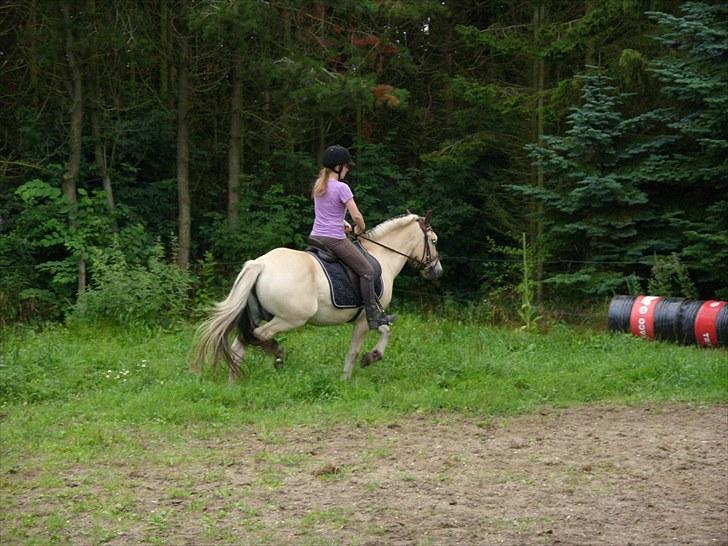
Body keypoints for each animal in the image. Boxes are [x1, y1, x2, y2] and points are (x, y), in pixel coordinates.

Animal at [191, 210, 440, 380]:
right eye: (434, 240)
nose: (437, 271)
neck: (382, 256)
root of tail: (260, 264)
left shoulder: (367, 319)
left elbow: (379, 334)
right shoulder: (366, 318)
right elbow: (360, 347)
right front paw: (357, 370)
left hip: (258, 315)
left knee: (240, 344)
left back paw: (234, 382)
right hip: (291, 318)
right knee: (260, 335)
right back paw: (277, 353)